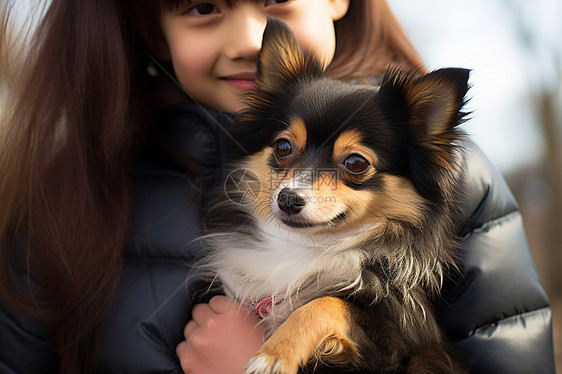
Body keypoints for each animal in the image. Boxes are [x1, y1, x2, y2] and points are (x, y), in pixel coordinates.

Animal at [200, 19, 468, 374]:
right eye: (282, 147)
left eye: (356, 163)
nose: (288, 199)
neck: (309, 247)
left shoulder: (395, 336)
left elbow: (326, 302)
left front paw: (274, 354)